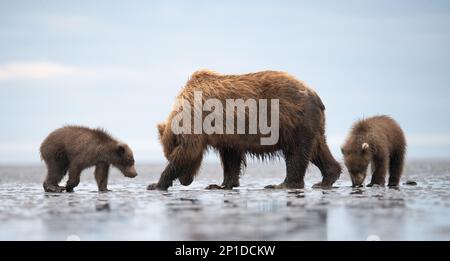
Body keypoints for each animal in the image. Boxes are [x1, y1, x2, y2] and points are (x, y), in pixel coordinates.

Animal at [148, 70, 342, 190]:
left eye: (169, 155)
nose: (185, 181)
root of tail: (315, 94)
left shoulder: (196, 120)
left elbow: (188, 151)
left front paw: (156, 184)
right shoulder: (226, 135)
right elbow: (231, 157)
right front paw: (221, 184)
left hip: (292, 119)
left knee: (296, 152)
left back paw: (282, 184)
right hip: (311, 124)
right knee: (317, 149)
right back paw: (327, 178)